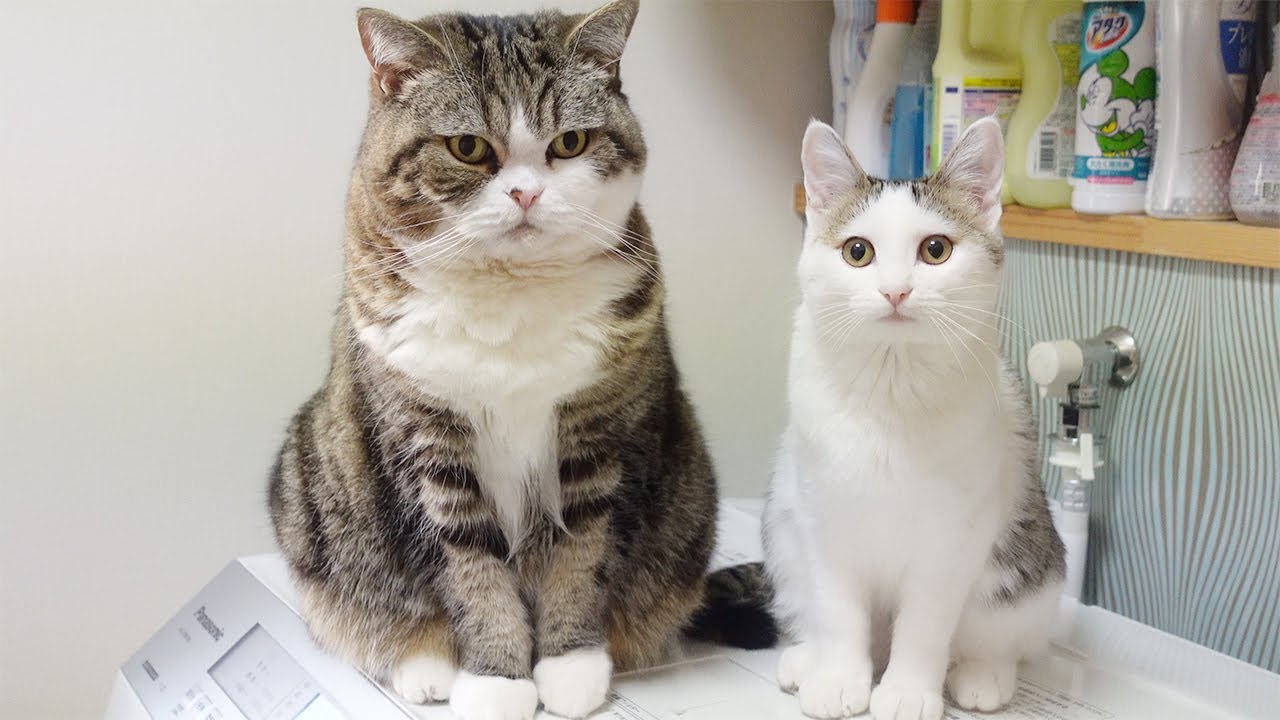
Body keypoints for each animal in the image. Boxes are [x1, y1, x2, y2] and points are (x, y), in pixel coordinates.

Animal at [267, 4, 768, 717]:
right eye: (468, 148)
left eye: (570, 142)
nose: (527, 194)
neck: (510, 296)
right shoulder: (431, 449)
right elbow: (471, 571)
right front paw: (497, 681)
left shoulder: (600, 439)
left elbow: (581, 558)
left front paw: (569, 665)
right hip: (312, 483)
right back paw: (425, 667)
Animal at [762, 119, 1064, 717]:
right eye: (857, 251)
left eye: (936, 249)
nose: (895, 290)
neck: (891, 387)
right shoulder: (824, 519)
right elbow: (839, 612)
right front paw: (839, 678)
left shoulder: (953, 537)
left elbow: (925, 623)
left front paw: (907, 691)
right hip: (784, 533)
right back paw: (808, 659)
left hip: (1030, 571)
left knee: (1010, 636)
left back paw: (983, 673)